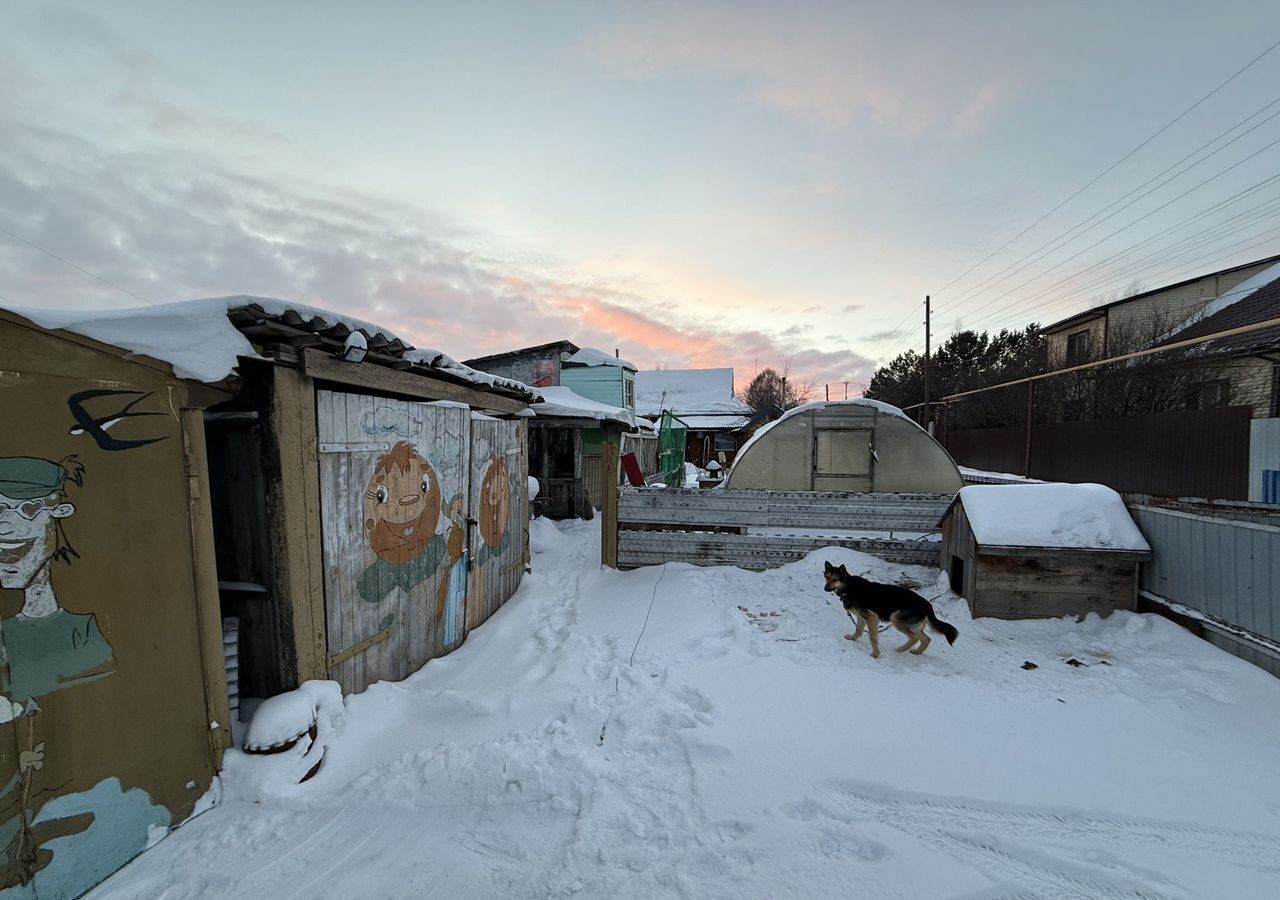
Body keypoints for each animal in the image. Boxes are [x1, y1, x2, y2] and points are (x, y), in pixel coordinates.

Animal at [824, 560, 957, 660]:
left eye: (835, 579)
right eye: (827, 577)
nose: (825, 589)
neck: (849, 587)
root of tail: (928, 605)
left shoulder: (872, 618)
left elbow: (873, 638)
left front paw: (876, 654)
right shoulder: (861, 617)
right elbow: (858, 630)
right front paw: (853, 638)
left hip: (896, 619)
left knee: (914, 638)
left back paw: (901, 649)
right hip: (910, 624)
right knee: (926, 639)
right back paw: (917, 652)